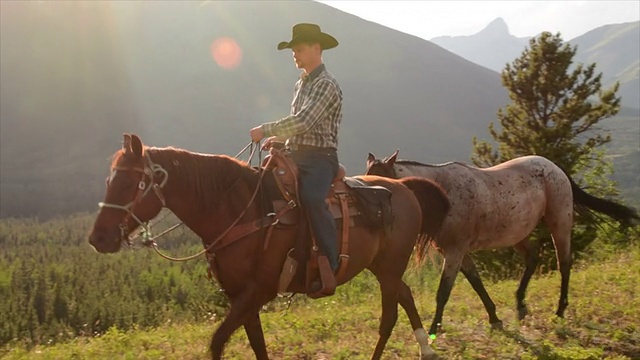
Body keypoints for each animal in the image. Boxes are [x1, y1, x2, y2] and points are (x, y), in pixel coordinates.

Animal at [89, 135, 450, 360]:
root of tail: (402, 187)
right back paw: (426, 348)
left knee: (389, 315)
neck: (243, 211)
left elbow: (218, 342)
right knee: (404, 294)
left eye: (128, 183)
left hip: (389, 268)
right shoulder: (242, 297)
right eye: (108, 181)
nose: (98, 239)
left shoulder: (259, 291)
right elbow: (256, 344)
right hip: (384, 267)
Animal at [368, 150, 636, 338]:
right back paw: (520, 305)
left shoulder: (455, 252)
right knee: (533, 257)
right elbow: (476, 282)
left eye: (384, 182)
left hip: (559, 222)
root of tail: (554, 167)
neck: (444, 192)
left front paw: (435, 329)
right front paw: (494, 318)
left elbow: (443, 291)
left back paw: (560, 310)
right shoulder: (456, 252)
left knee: (564, 263)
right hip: (518, 235)